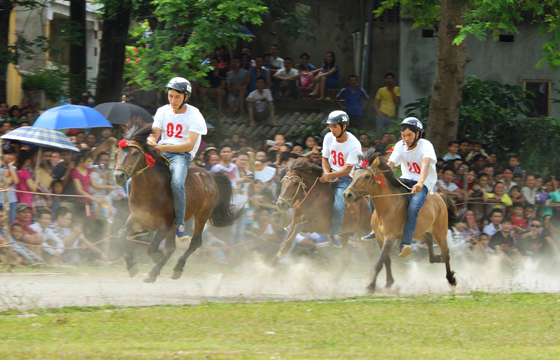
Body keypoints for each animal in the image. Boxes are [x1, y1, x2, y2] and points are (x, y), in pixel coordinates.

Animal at [112, 121, 240, 284]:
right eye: (117, 153)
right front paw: (131, 266)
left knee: (194, 242)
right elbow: (121, 234)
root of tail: (209, 175)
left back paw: (175, 268)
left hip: (201, 215)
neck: (150, 190)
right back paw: (155, 272)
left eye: (135, 153)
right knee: (172, 248)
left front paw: (156, 256)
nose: (119, 175)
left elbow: (152, 248)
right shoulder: (137, 219)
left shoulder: (164, 224)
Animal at [342, 149, 456, 292]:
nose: (347, 195)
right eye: (354, 174)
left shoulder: (389, 237)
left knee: (446, 252)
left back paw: (451, 279)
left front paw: (371, 285)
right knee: (429, 239)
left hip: (439, 231)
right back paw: (435, 258)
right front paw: (389, 282)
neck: (387, 206)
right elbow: (386, 260)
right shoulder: (380, 238)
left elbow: (379, 262)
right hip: (417, 232)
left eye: (367, 176)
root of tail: (439, 197)